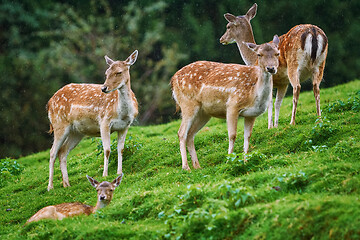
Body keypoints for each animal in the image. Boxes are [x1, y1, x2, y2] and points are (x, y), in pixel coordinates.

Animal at [46, 49, 139, 190]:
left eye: (119, 72)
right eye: (106, 73)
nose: (104, 88)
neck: (122, 113)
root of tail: (49, 103)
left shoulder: (125, 126)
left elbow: (121, 149)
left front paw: (119, 172)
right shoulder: (104, 122)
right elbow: (107, 150)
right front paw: (105, 174)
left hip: (76, 132)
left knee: (62, 151)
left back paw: (67, 184)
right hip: (59, 124)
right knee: (52, 152)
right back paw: (50, 187)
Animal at [172, 35, 282, 171]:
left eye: (277, 53)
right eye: (259, 54)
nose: (271, 68)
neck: (253, 93)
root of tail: (173, 79)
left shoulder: (251, 114)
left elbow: (247, 136)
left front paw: (245, 161)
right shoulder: (232, 105)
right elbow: (232, 135)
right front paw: (229, 160)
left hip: (204, 113)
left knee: (191, 134)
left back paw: (197, 166)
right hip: (187, 103)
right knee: (181, 133)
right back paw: (186, 167)